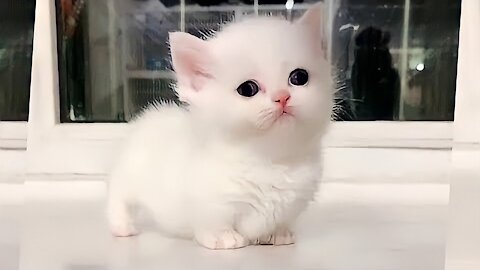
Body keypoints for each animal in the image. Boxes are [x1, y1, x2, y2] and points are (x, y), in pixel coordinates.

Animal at [108, 3, 334, 250]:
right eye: (247, 89)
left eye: (299, 77)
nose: (282, 97)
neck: (269, 160)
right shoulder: (210, 203)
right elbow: (215, 221)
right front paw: (223, 238)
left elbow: (280, 220)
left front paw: (278, 233)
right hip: (129, 176)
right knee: (118, 195)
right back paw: (122, 226)